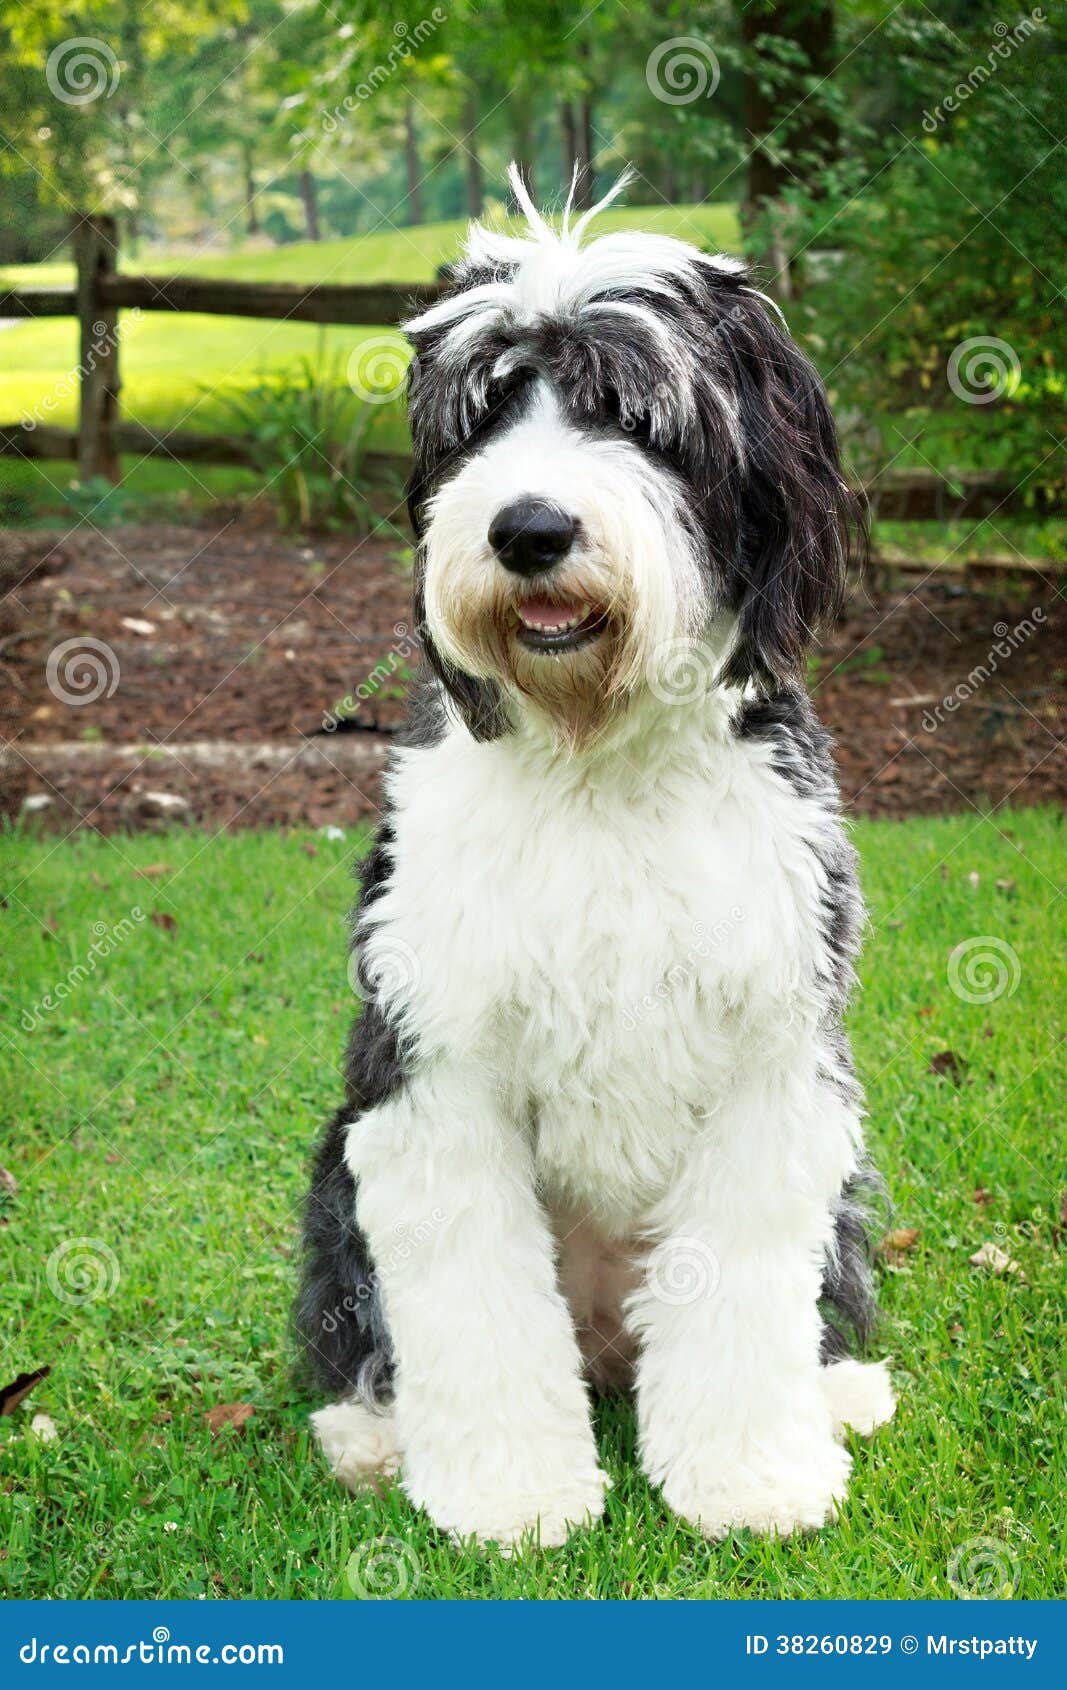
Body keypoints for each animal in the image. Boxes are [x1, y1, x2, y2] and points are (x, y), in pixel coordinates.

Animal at [295, 168, 899, 1548]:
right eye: (483, 411)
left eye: (632, 413)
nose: (527, 529)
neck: (599, 760)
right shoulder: (431, 1069)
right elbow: (472, 1300)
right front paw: (507, 1492)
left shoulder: (776, 1060)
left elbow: (743, 1284)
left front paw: (747, 1473)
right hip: (336, 1175)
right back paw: (371, 1432)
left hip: (840, 1170)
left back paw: (834, 1393)